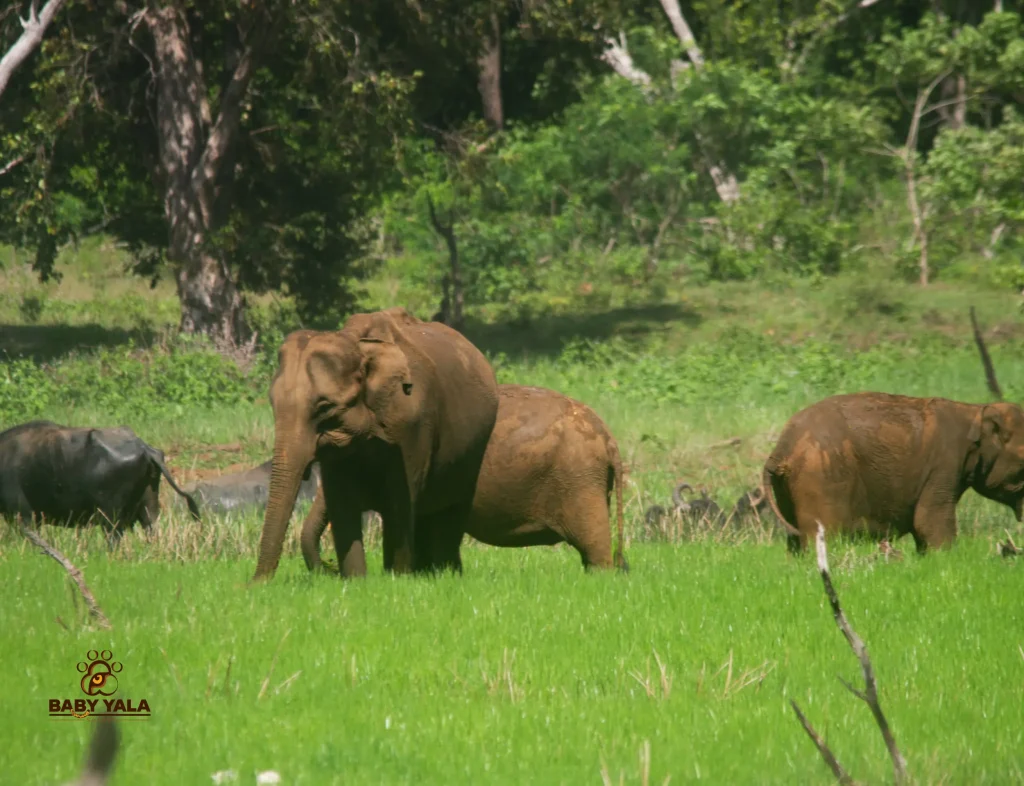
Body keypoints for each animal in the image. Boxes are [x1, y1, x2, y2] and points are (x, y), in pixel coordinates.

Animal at [0, 420, 200, 544]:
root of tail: (145, 449)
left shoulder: (23, 515)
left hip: (110, 515)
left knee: (114, 539)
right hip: (148, 505)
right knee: (151, 529)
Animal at [251, 306, 500, 581]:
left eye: (325, 408)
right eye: (272, 404)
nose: (254, 585)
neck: (358, 343)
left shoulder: (413, 423)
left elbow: (400, 502)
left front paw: (398, 578)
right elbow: (342, 504)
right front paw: (357, 581)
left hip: (474, 449)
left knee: (450, 512)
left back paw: (443, 573)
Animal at [762, 392, 1024, 554]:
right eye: (1023, 460)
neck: (975, 411)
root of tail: (781, 449)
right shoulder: (945, 464)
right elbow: (929, 520)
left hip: (789, 487)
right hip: (822, 479)